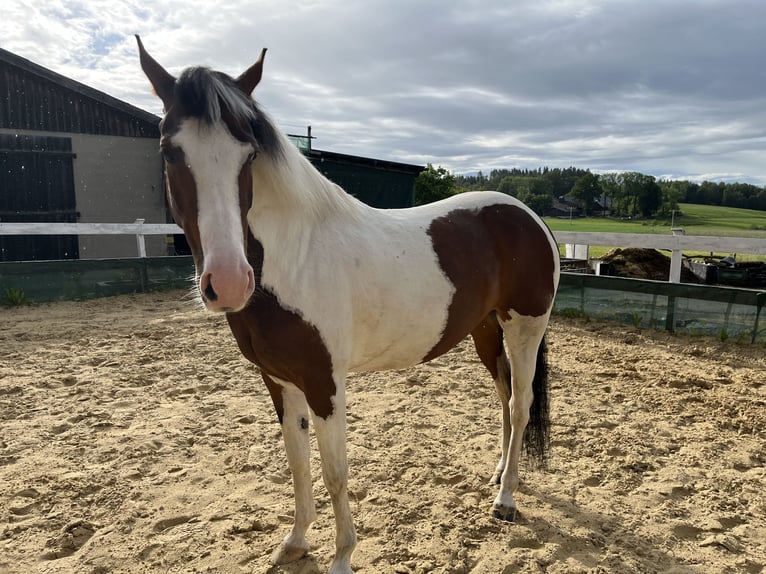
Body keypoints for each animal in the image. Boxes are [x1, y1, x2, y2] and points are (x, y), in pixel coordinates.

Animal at [136, 37, 560, 574]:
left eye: (247, 154)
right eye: (171, 151)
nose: (229, 282)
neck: (295, 256)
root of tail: (529, 217)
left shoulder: (324, 383)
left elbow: (335, 471)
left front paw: (341, 557)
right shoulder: (279, 381)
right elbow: (298, 463)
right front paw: (295, 541)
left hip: (524, 329)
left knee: (521, 405)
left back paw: (506, 499)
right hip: (486, 330)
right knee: (504, 399)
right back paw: (498, 475)